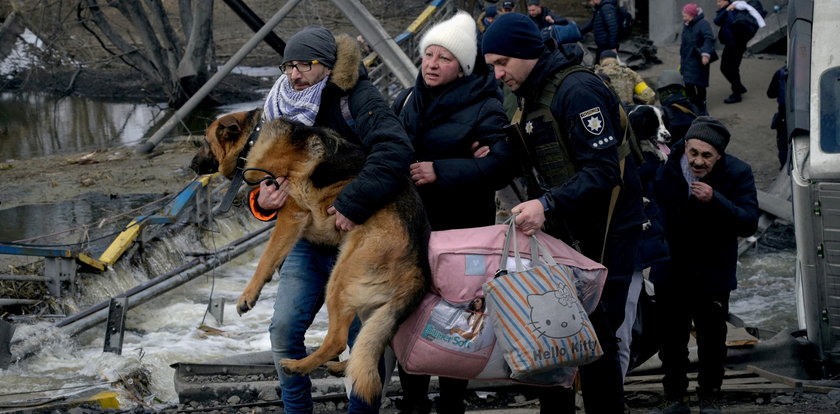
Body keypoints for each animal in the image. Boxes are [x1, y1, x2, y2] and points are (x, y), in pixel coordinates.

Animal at [189, 111, 426, 404]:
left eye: (205, 142)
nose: (191, 165)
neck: (255, 135)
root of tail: (418, 266)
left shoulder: (291, 213)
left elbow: (266, 257)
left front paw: (248, 295)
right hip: (367, 303)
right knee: (369, 346)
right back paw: (342, 366)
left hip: (339, 279)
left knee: (337, 340)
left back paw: (298, 366)